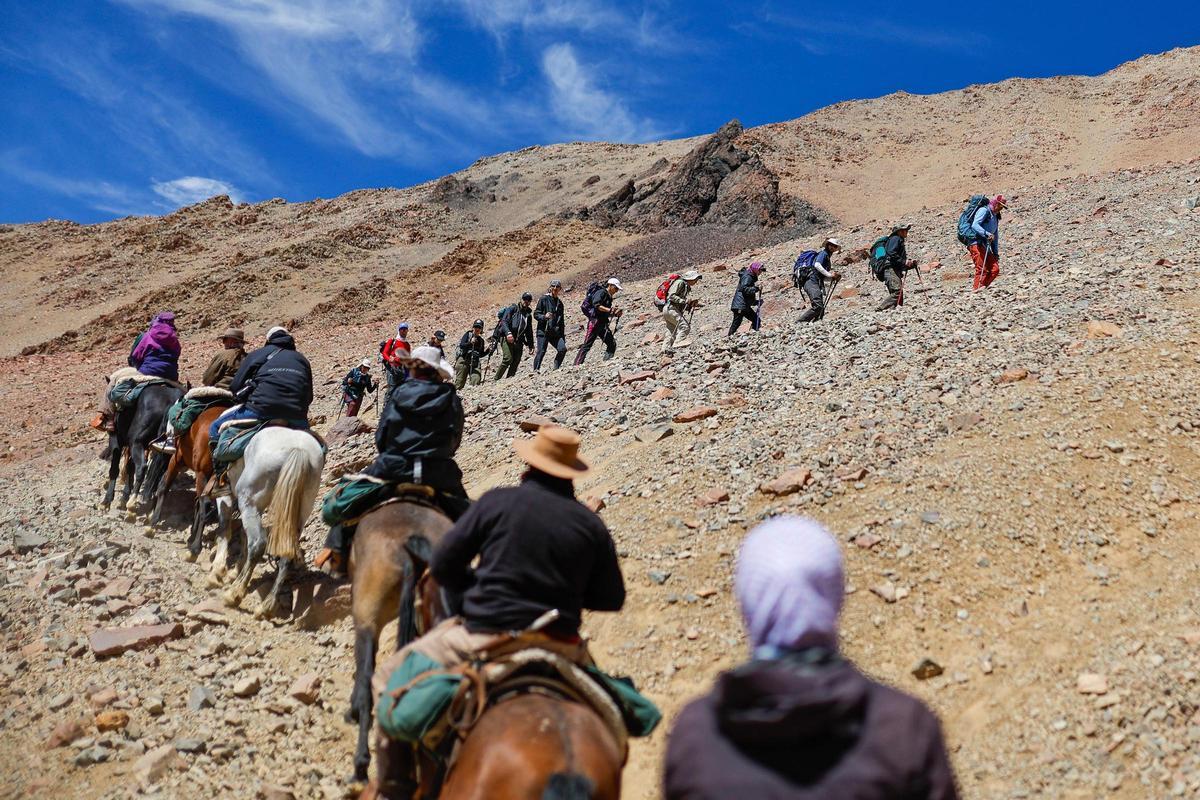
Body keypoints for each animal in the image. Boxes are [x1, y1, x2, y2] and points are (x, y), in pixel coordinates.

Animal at [103, 383, 182, 513]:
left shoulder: (116, 441)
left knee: (142, 467)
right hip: (167, 452)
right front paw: (124, 496)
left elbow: (114, 469)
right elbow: (130, 467)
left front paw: (106, 501)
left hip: (136, 442)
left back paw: (132, 503)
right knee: (161, 476)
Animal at [208, 424, 326, 618]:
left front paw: (217, 572)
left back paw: (234, 594)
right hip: (301, 510)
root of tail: (299, 449)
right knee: (286, 553)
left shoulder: (225, 497)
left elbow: (225, 529)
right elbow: (242, 535)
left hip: (249, 502)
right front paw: (234, 571)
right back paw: (267, 606)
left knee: (258, 544)